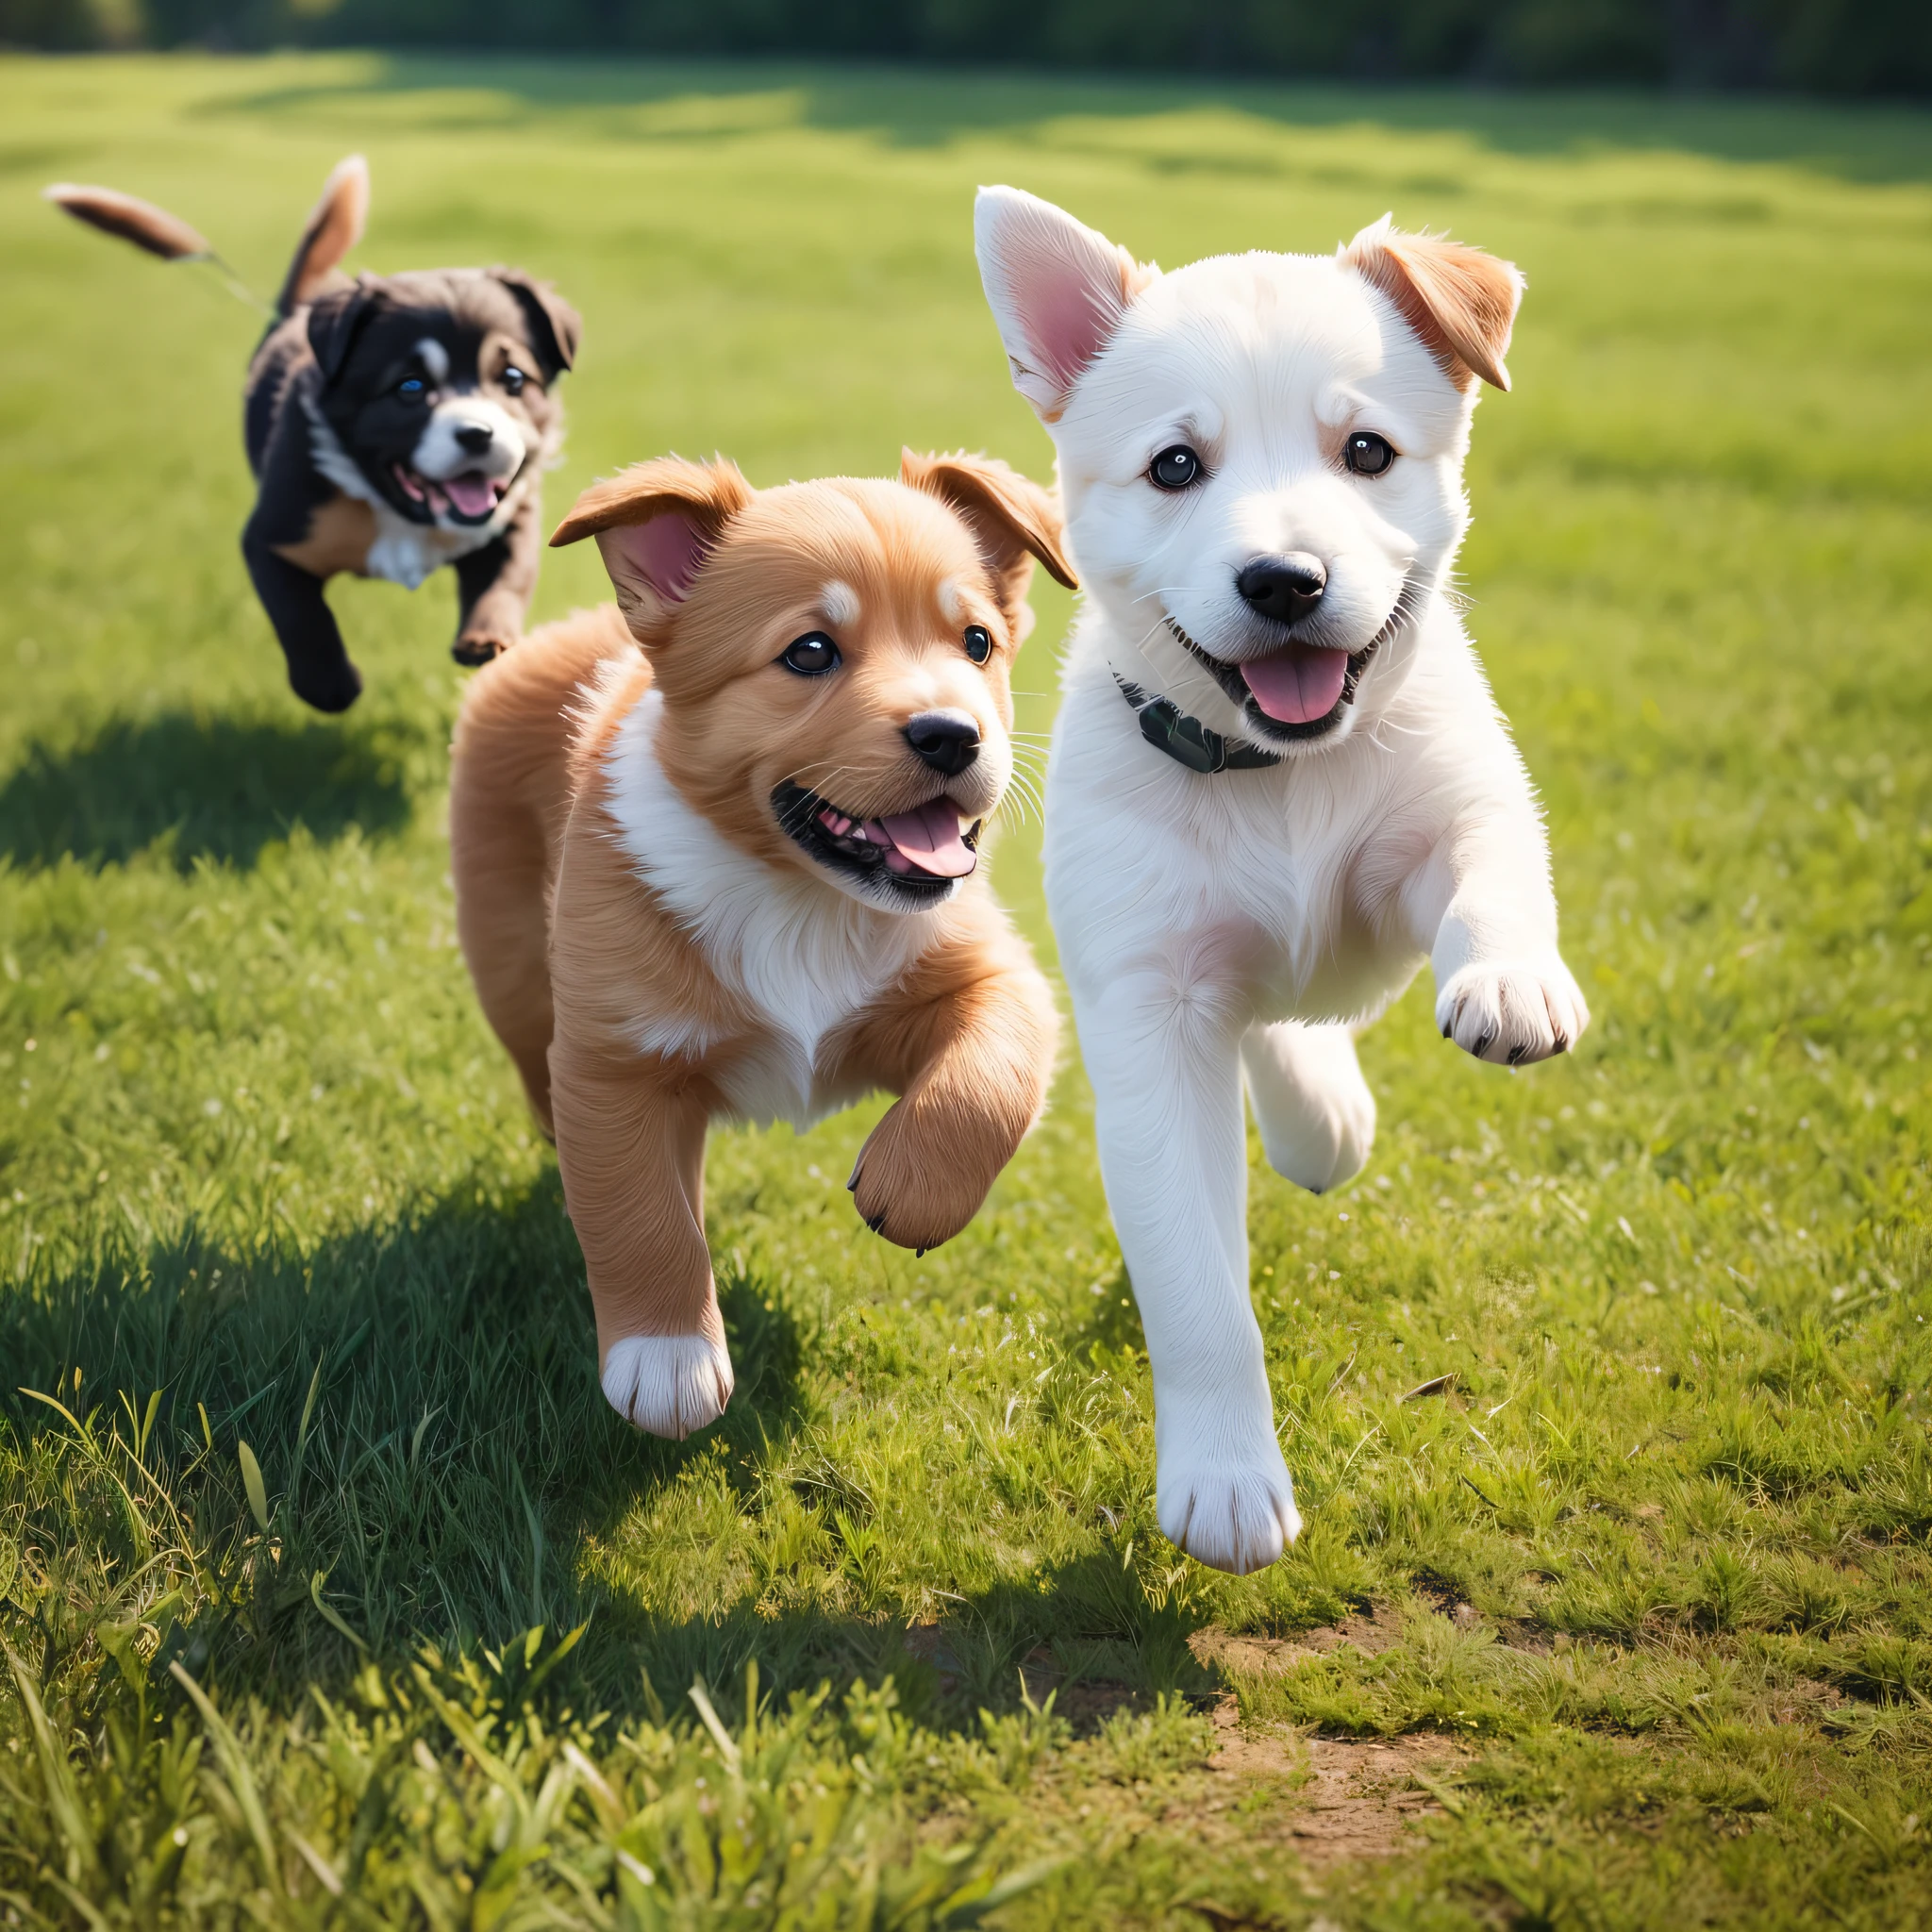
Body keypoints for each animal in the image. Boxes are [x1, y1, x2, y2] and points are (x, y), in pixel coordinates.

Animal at [48, 154, 575, 707]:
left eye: (513, 379)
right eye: (410, 387)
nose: (477, 434)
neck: (397, 510)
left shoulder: (511, 516)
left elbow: (507, 580)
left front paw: (487, 639)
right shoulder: (278, 530)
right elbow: (301, 618)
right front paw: (333, 685)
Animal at [452, 448, 1074, 1437]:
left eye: (977, 643)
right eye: (809, 652)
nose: (954, 735)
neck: (801, 898)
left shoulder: (987, 972)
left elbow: (990, 1078)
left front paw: (914, 1189)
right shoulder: (609, 1059)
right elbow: (638, 1212)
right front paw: (667, 1358)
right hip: (513, 970)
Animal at [974, 188, 1591, 1576]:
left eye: (1365, 451)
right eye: (1174, 467)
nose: (1285, 582)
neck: (1277, 777)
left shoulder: (1444, 806)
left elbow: (1490, 866)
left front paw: (1511, 980)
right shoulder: (1151, 1016)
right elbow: (1198, 1290)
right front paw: (1224, 1477)